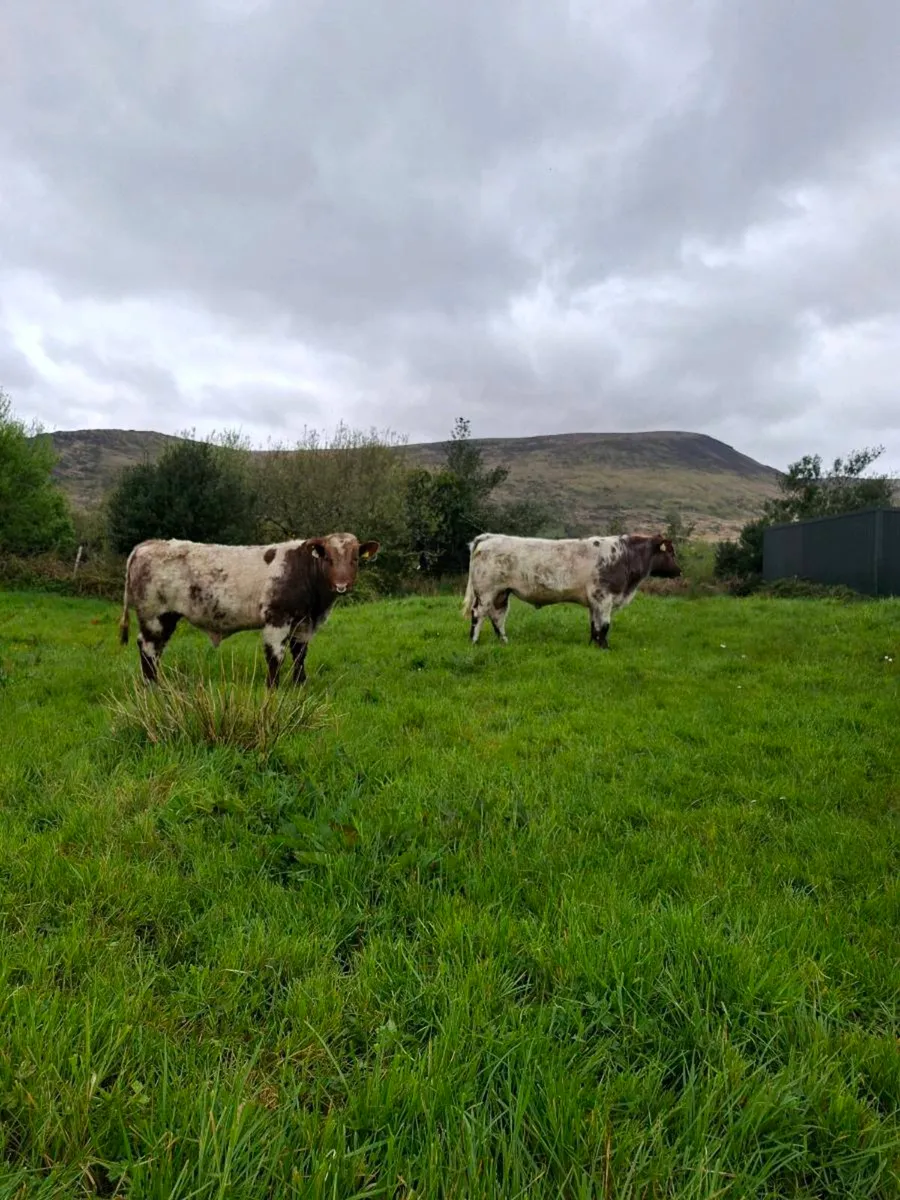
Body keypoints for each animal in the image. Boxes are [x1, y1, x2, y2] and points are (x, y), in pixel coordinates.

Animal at [119, 533, 379, 687]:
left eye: (355, 559)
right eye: (329, 559)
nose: (342, 585)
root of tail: (148, 544)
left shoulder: (304, 623)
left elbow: (299, 654)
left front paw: (300, 684)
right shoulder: (277, 618)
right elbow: (276, 655)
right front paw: (273, 688)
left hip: (166, 617)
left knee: (155, 649)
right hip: (155, 615)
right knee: (148, 647)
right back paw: (152, 686)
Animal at [462, 532, 681, 649]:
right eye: (670, 552)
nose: (679, 571)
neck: (624, 557)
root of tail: (489, 537)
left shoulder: (595, 601)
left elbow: (595, 625)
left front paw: (593, 645)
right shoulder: (604, 597)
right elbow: (605, 625)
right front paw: (605, 648)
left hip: (501, 593)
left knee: (497, 616)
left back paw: (504, 641)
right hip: (486, 592)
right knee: (478, 614)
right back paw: (473, 641)